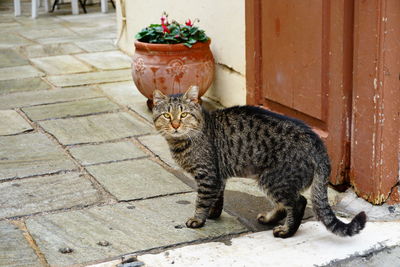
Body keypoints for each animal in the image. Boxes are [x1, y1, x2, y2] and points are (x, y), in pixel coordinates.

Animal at [152, 86, 366, 239]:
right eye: (167, 115)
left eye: (184, 115)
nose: (175, 125)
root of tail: (317, 141)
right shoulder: (219, 176)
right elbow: (217, 198)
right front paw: (213, 214)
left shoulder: (208, 175)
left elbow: (202, 200)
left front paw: (198, 219)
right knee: (285, 204)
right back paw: (270, 218)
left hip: (274, 179)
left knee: (298, 203)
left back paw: (286, 231)